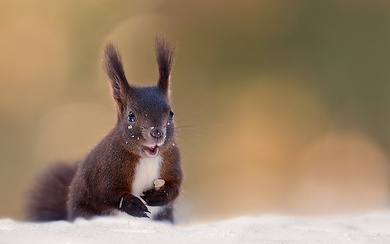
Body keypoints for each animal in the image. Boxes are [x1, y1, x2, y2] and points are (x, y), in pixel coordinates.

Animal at [25, 36, 184, 223]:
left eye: (171, 114)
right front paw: (130, 204)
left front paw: (161, 194)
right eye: (131, 116)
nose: (157, 132)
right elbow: (106, 193)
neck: (146, 158)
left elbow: (176, 185)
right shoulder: (106, 168)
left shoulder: (172, 160)